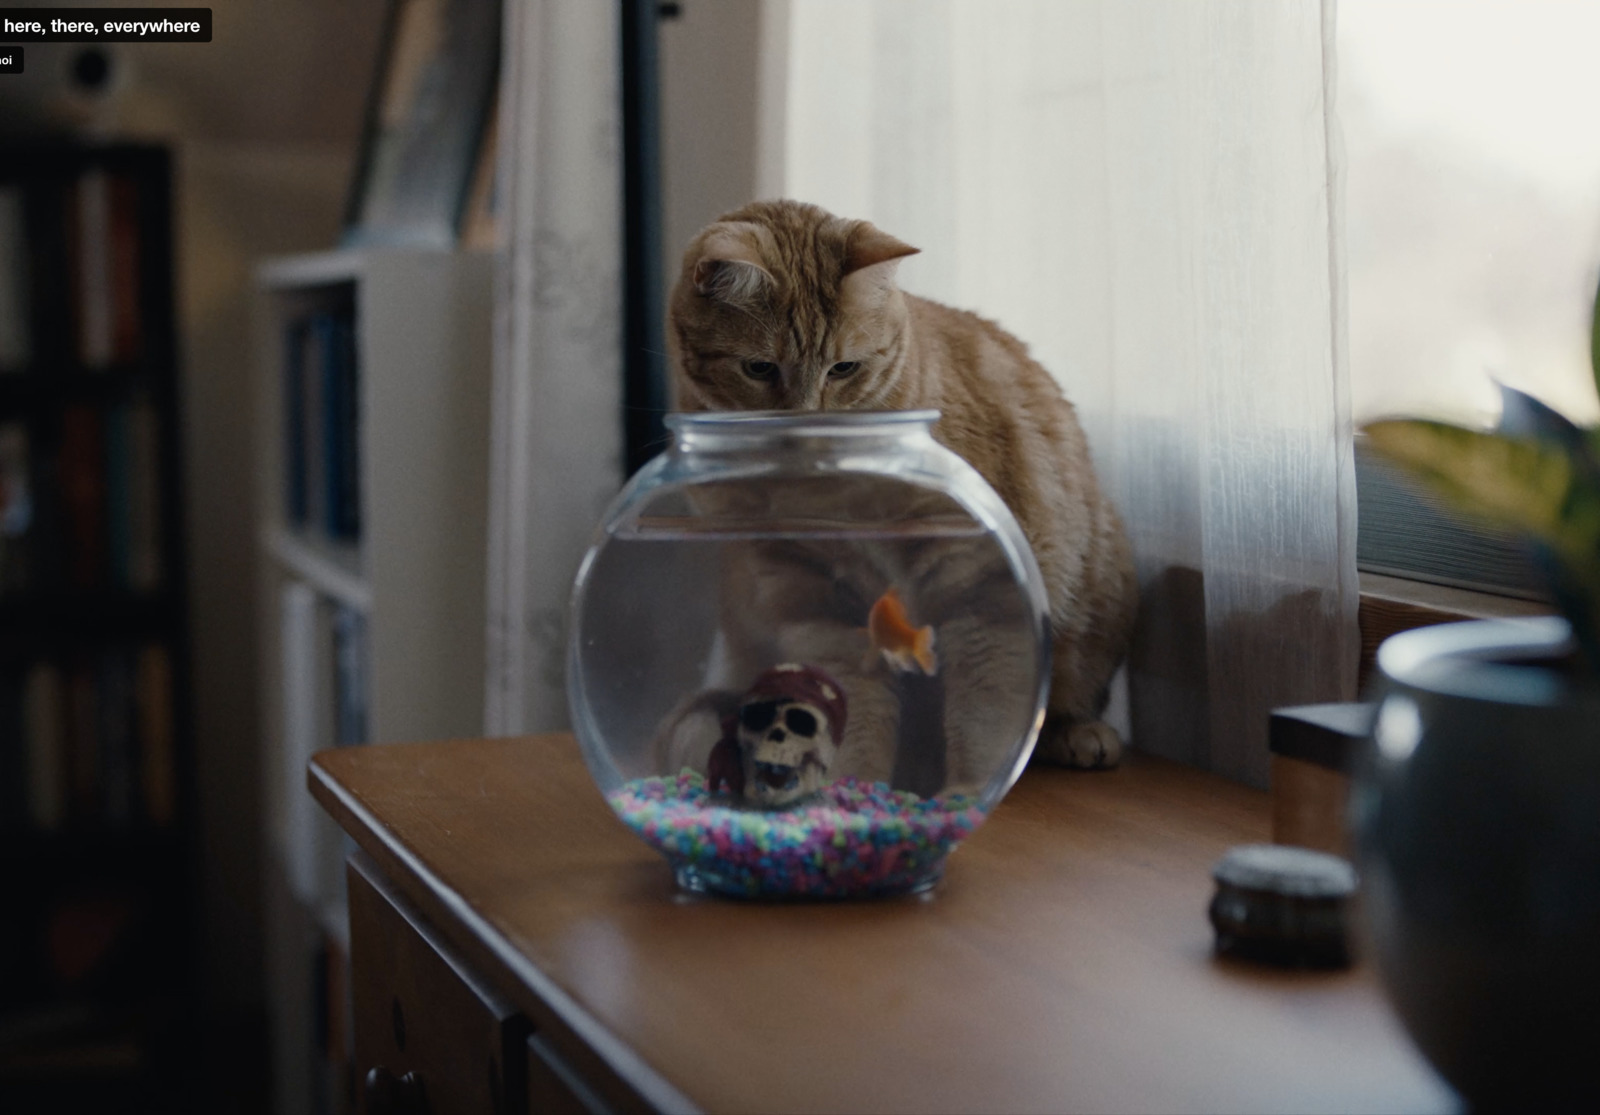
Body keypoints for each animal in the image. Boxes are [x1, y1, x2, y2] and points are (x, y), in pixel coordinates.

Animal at [662, 199, 1139, 771]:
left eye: (843, 368)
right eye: (759, 368)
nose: (806, 421)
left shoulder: (980, 586)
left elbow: (985, 708)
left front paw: (966, 786)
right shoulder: (813, 598)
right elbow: (851, 708)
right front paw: (854, 783)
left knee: (1058, 697)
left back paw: (1080, 735)